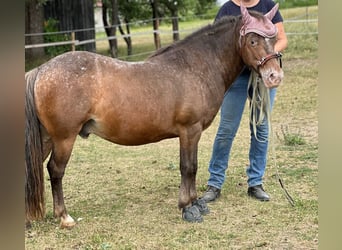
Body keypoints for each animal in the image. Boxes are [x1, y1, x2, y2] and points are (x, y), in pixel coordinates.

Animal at [25, 3, 284, 228]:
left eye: (273, 39)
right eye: (253, 40)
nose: (274, 77)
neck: (196, 67)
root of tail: (41, 70)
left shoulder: (193, 133)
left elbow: (193, 166)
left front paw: (197, 203)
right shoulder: (189, 131)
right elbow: (188, 167)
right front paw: (188, 207)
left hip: (47, 138)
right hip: (64, 139)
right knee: (55, 171)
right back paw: (64, 217)